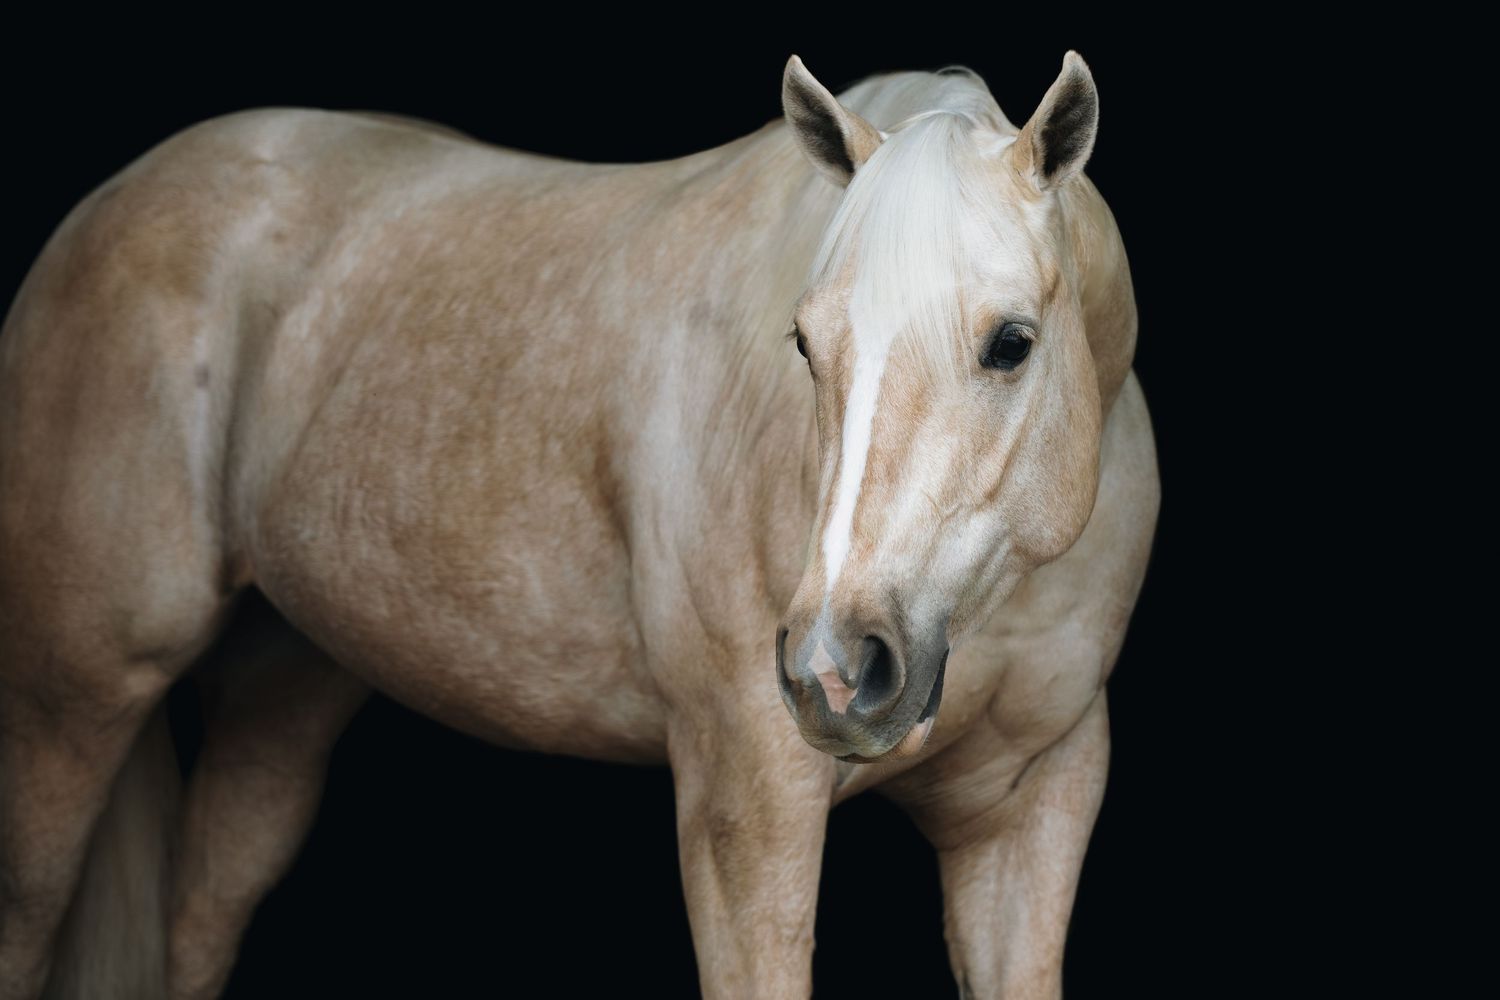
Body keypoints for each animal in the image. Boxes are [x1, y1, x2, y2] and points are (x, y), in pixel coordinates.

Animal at [0, 51, 1158, 998]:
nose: (834, 668)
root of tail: (100, 212)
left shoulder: (1030, 815)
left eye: (1010, 343)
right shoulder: (748, 809)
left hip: (277, 697)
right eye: (804, 342)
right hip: (72, 702)